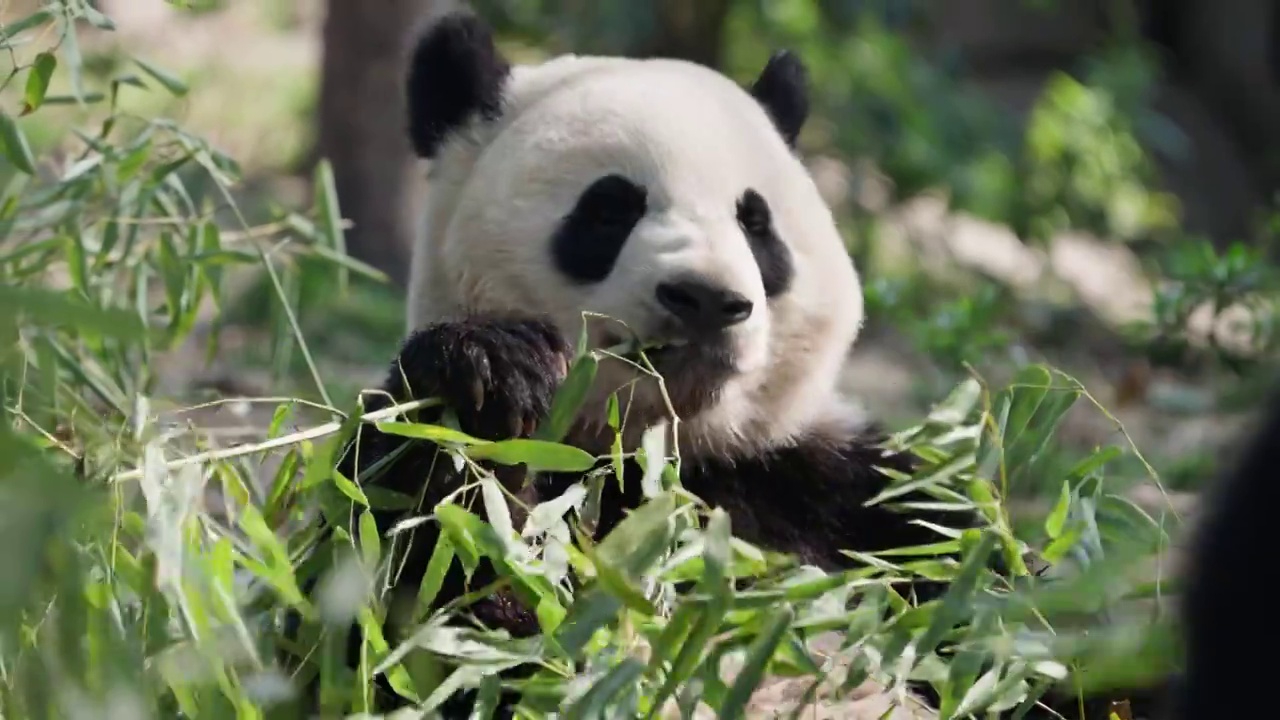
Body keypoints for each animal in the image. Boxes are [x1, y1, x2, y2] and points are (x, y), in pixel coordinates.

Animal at [307, 12, 1162, 717]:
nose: (708, 299)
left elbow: (1032, 639)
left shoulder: (851, 493)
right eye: (609, 208)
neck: (664, 450)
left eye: (756, 223)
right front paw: (488, 376)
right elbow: (420, 624)